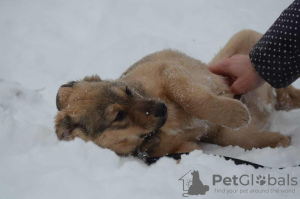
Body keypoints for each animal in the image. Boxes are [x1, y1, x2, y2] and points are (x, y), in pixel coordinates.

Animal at [54, 29, 300, 157]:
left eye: (127, 90)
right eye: (119, 116)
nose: (162, 108)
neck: (163, 128)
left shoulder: (168, 71)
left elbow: (192, 98)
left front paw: (235, 112)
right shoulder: (199, 142)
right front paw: (281, 140)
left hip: (246, 42)